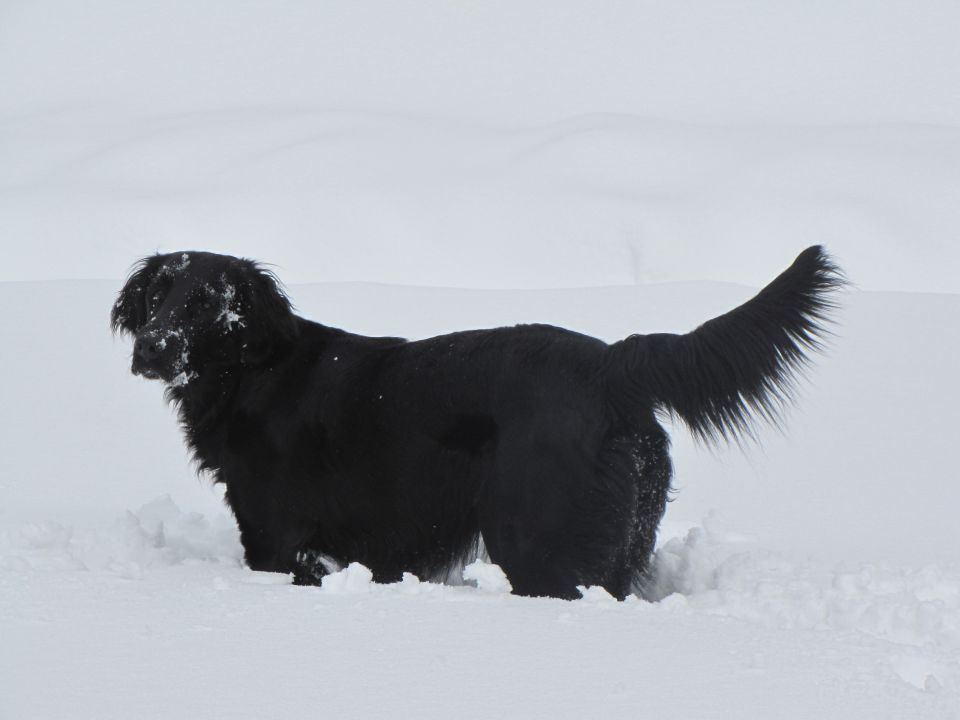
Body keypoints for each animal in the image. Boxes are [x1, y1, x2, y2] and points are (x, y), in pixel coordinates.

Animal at [112, 250, 844, 600]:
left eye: (206, 304)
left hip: (539, 543)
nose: (149, 348)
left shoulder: (276, 537)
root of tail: (610, 363)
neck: (254, 373)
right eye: (157, 295)